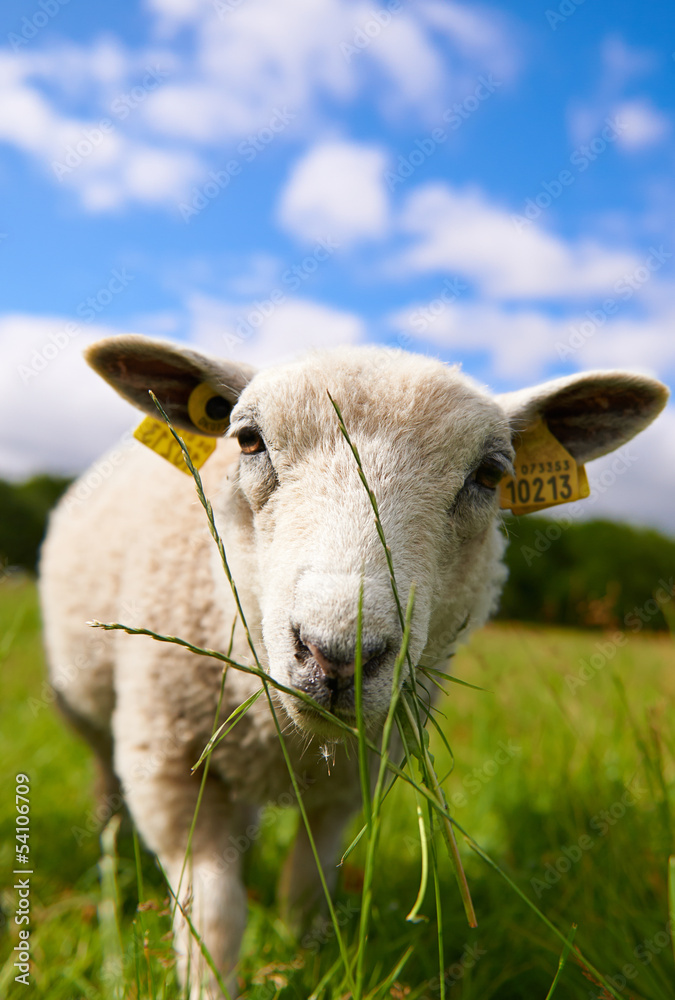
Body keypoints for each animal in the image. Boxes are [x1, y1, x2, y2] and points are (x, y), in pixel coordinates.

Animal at [39, 334, 668, 992]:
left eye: (490, 474)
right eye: (248, 440)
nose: (336, 654)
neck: (292, 742)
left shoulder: (357, 776)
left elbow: (307, 885)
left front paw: (312, 962)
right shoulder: (165, 768)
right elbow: (213, 914)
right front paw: (212, 983)